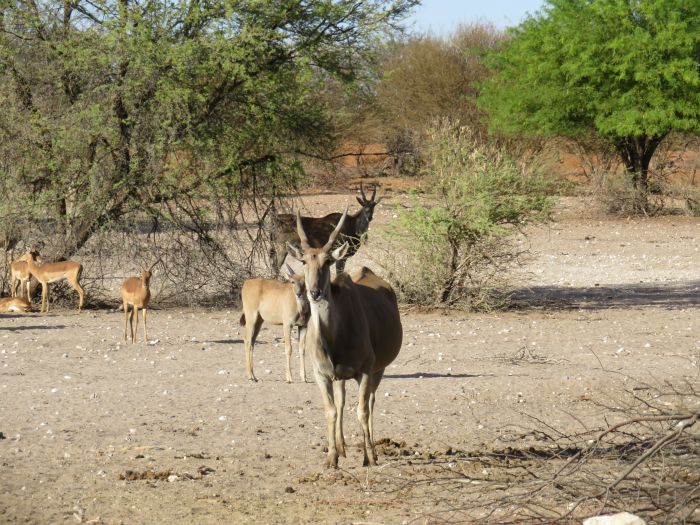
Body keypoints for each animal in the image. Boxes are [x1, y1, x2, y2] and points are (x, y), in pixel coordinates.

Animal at [288, 209, 402, 466]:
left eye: (327, 261)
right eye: (304, 261)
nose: (315, 292)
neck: (333, 341)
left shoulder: (365, 371)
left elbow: (362, 409)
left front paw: (369, 457)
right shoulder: (322, 375)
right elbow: (331, 410)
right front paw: (332, 458)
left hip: (378, 369)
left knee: (370, 402)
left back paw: (372, 451)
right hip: (341, 377)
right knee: (341, 403)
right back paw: (342, 448)